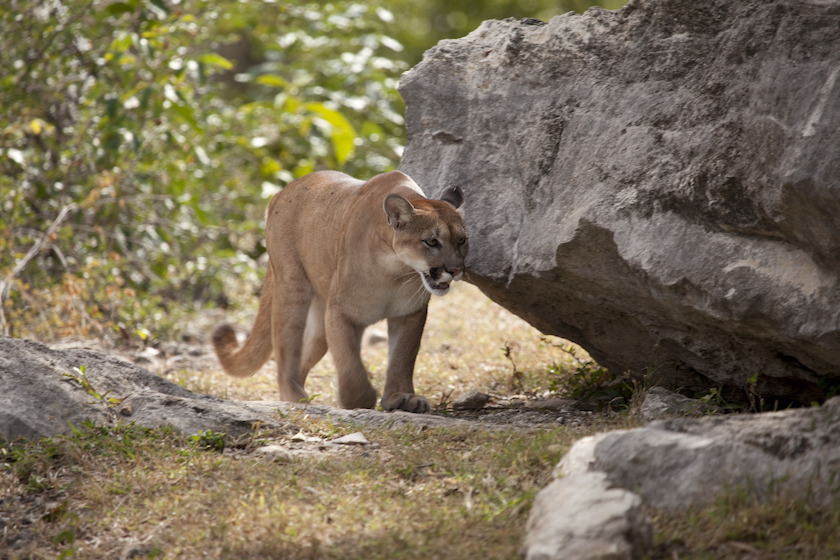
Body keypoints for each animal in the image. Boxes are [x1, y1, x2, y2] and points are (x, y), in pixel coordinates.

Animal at [212, 168, 466, 414]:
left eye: (462, 240)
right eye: (431, 241)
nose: (455, 270)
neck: (396, 269)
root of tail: (281, 191)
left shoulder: (409, 313)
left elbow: (402, 357)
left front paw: (401, 397)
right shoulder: (341, 312)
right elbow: (349, 362)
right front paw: (360, 399)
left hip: (319, 323)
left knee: (305, 355)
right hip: (292, 288)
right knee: (285, 352)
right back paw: (296, 399)